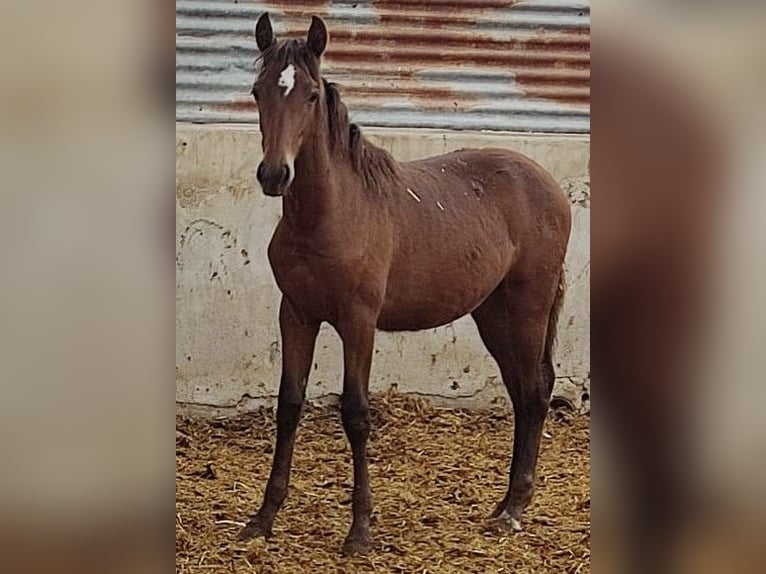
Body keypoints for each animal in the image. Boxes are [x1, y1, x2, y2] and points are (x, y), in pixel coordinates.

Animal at [237, 13, 572, 560]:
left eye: (311, 94)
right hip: (492, 313)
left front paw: (359, 532)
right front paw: (262, 520)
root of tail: (548, 183)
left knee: (537, 389)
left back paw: (514, 511)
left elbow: (355, 414)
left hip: (529, 305)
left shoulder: (358, 322)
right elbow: (288, 406)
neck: (330, 216)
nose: (274, 174)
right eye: (257, 91)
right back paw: (503, 505)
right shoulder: (297, 315)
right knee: (522, 392)